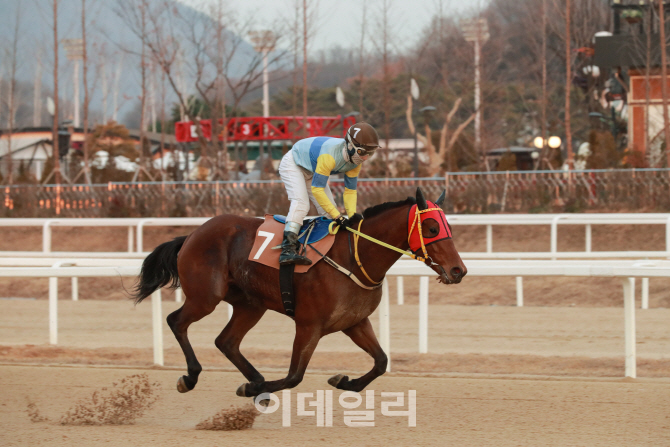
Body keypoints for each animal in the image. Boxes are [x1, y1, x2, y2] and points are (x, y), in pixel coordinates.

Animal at [131, 186, 468, 400]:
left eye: (448, 227)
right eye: (431, 228)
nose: (458, 270)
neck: (354, 258)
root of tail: (192, 233)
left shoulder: (354, 322)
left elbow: (381, 362)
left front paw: (344, 381)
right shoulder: (309, 325)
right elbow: (295, 376)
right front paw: (253, 390)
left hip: (250, 304)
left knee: (226, 341)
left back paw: (255, 379)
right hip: (206, 297)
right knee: (177, 321)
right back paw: (192, 377)